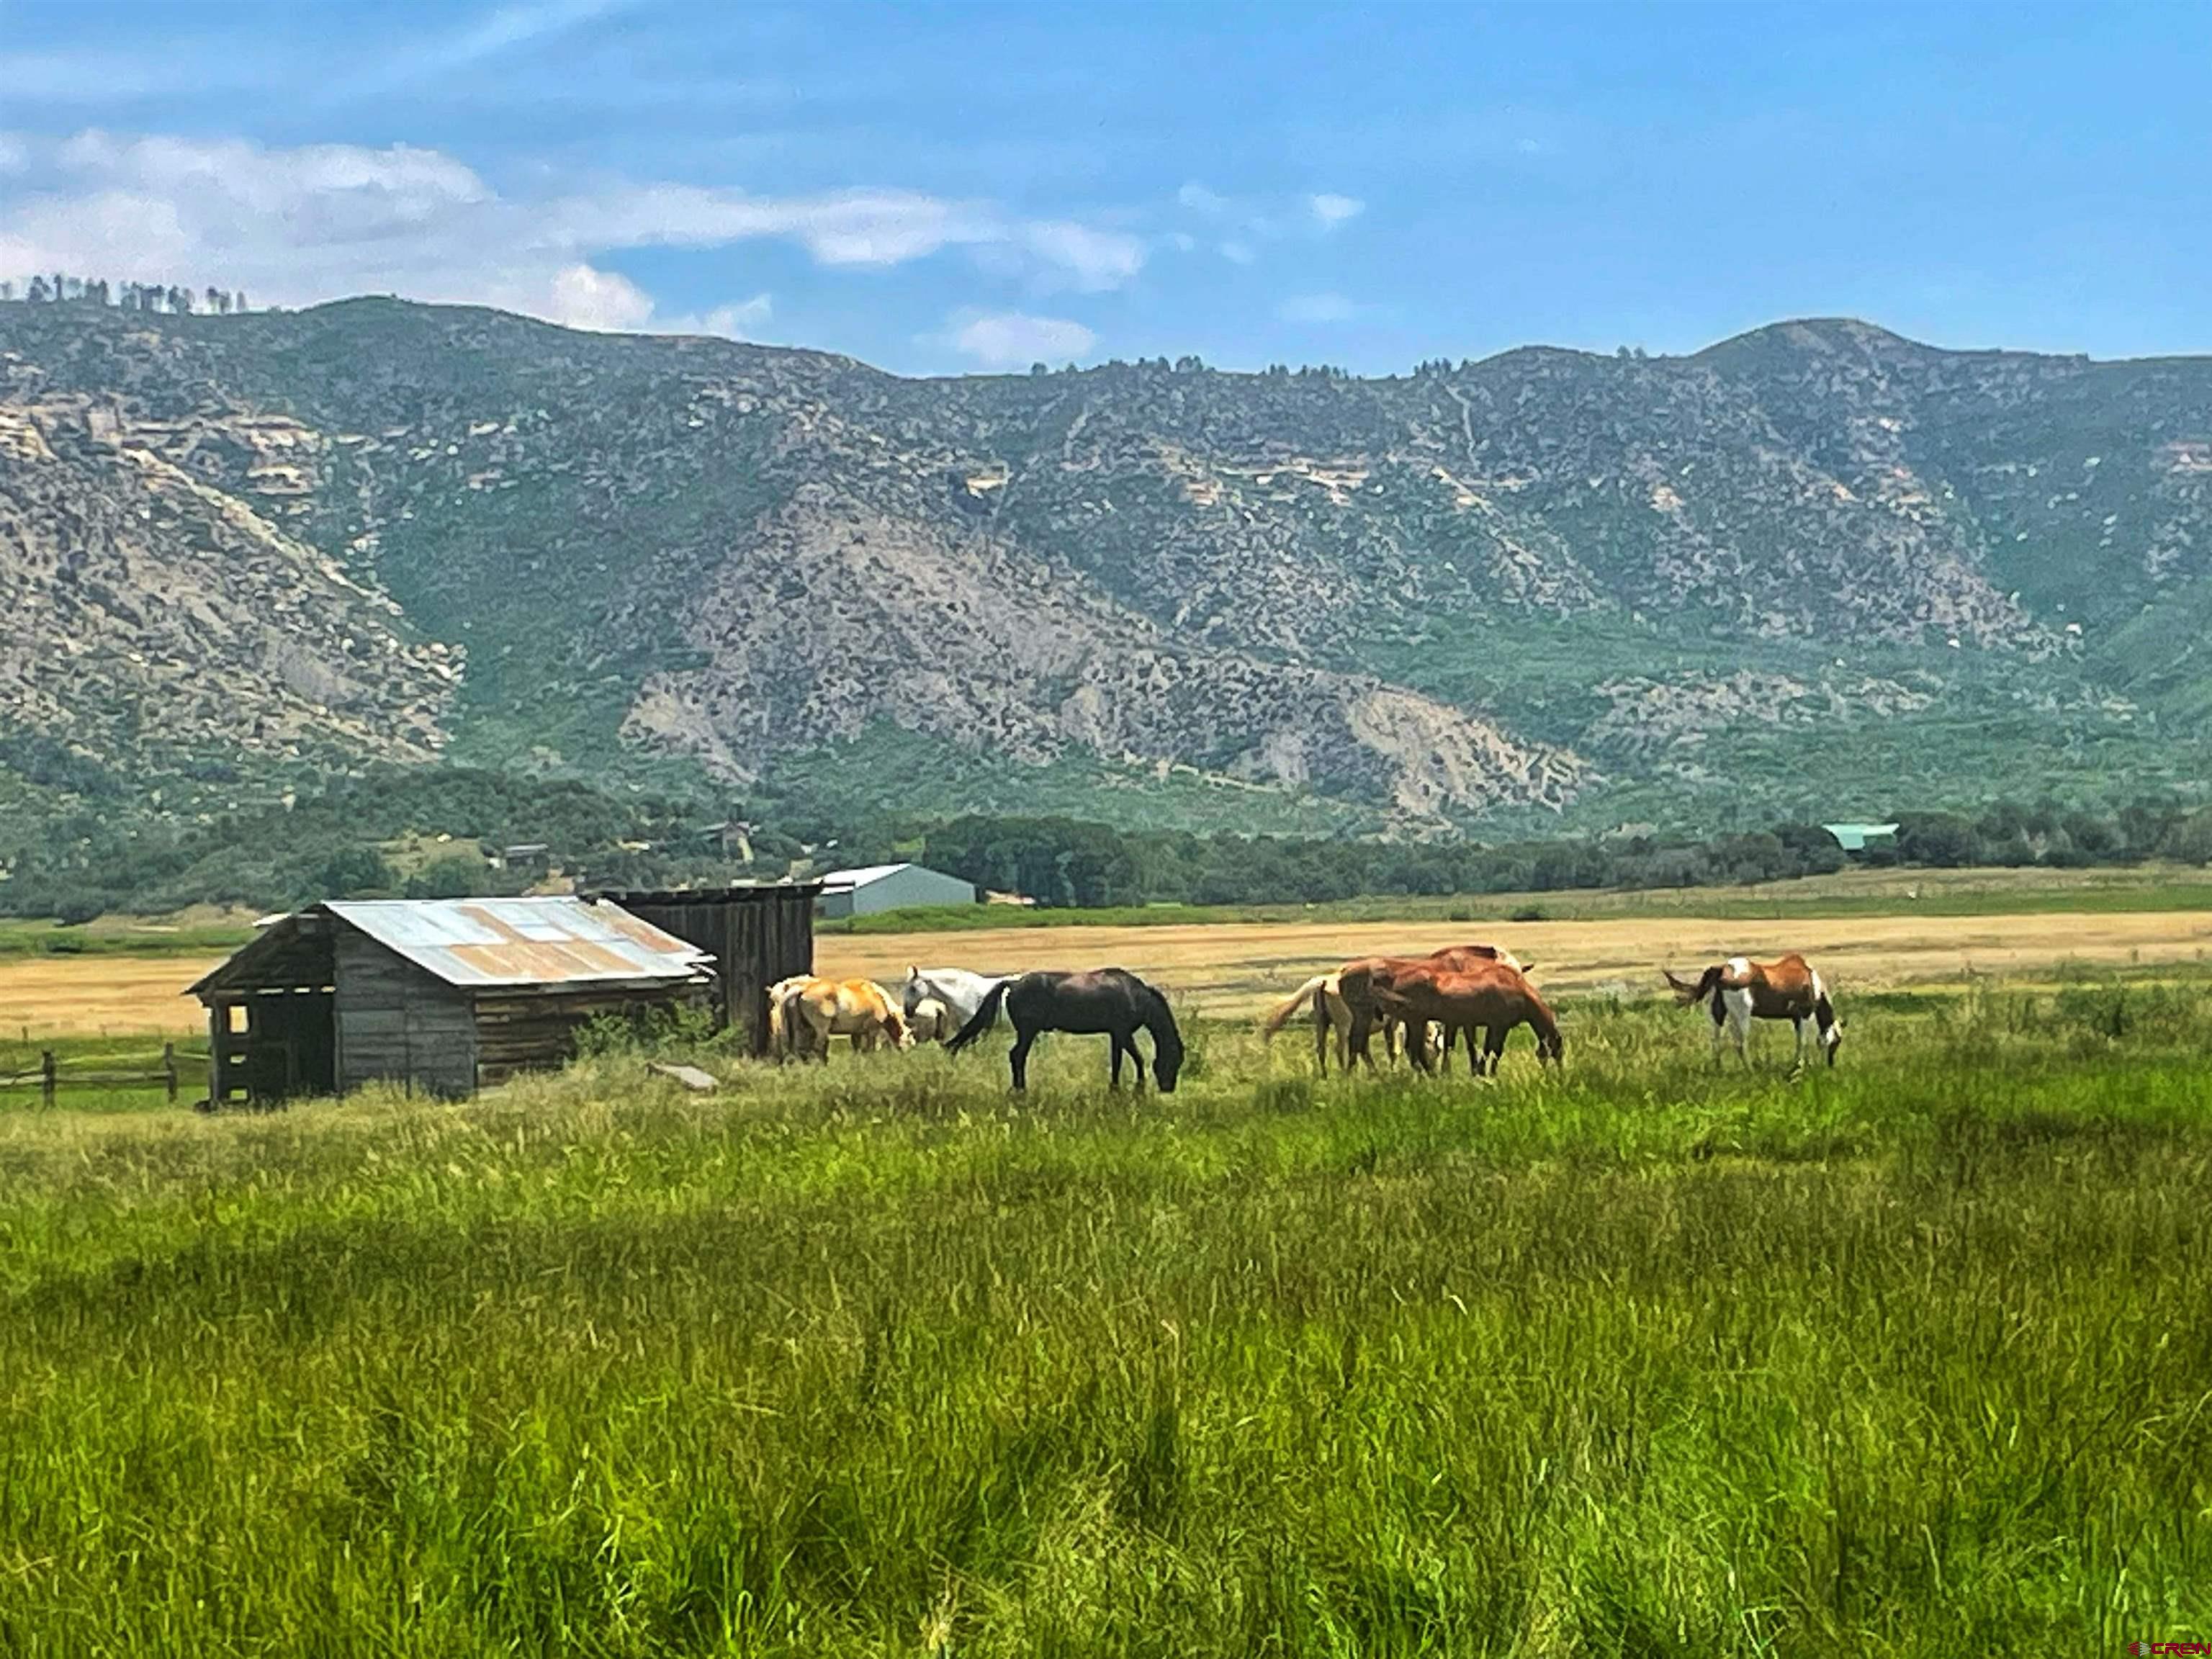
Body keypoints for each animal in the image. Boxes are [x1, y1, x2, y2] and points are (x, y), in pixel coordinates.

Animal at [774, 973, 902, 1066]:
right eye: (900, 1030)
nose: (901, 1049)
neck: (877, 998)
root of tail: (802, 990)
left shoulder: (856, 1033)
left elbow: (857, 1049)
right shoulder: (872, 1031)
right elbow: (871, 1049)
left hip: (800, 1029)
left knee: (798, 1049)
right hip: (820, 1029)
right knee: (817, 1048)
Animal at [950, 968, 1194, 1097]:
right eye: (1175, 1060)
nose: (1168, 1088)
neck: (1136, 995)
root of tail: (1014, 983)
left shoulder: (1116, 1035)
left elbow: (1116, 1062)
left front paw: (1114, 1089)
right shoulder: (1124, 1033)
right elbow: (1138, 1058)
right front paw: (1139, 1088)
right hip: (1028, 1032)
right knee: (1017, 1055)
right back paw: (1021, 1090)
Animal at [1362, 960, 1557, 1079]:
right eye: (1553, 1052)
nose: (1553, 1076)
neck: (1517, 989)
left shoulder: (1493, 1026)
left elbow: (1487, 1049)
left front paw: (1481, 1072)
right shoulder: (1500, 1026)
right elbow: (1496, 1051)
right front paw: (1489, 1074)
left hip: (1416, 1023)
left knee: (1414, 1051)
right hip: (1417, 1022)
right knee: (1415, 1051)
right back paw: (1433, 1076)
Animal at [1663, 956, 1840, 1070]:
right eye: (1837, 1042)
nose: (1830, 1066)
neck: (1811, 980)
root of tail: (1723, 970)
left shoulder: (1796, 1018)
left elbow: (1799, 1041)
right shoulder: (1805, 1015)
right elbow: (1804, 1041)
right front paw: (1801, 1066)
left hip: (1717, 1016)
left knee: (1716, 1041)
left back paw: (1719, 1070)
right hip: (1741, 1016)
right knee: (1741, 1044)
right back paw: (1750, 1070)